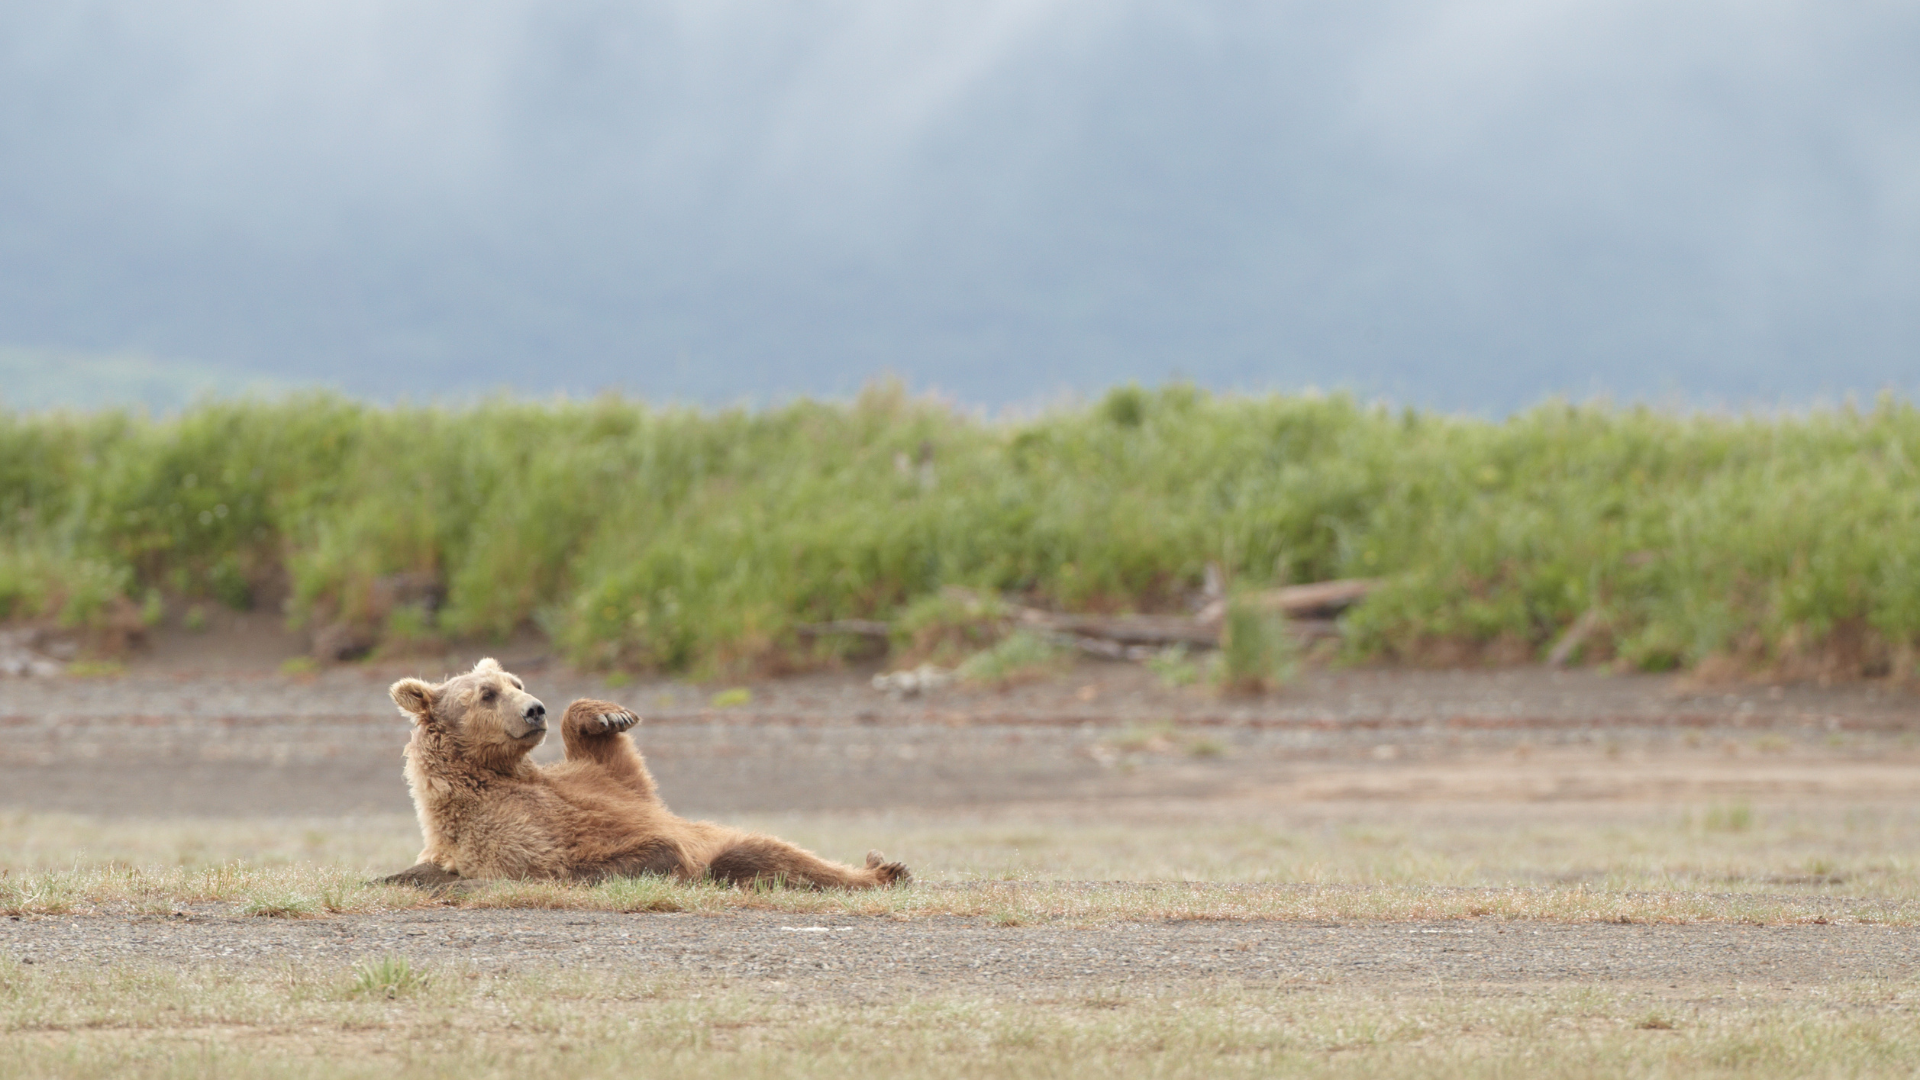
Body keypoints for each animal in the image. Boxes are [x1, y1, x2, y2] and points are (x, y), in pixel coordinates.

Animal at [378, 658, 909, 890]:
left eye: (516, 682)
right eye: (486, 694)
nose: (534, 709)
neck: (499, 771)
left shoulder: (594, 785)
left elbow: (621, 770)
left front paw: (608, 715)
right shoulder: (510, 831)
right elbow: (582, 858)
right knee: (755, 856)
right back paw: (883, 871)